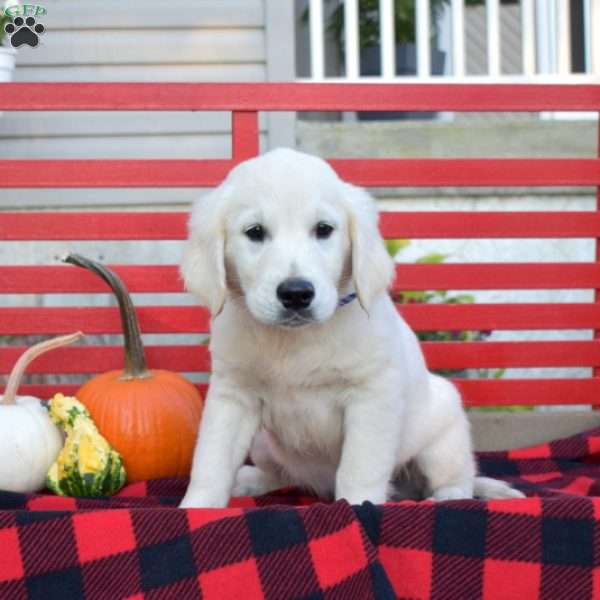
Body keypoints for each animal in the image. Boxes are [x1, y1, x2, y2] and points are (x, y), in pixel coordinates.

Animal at [180, 146, 524, 506]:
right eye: (255, 232)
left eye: (323, 229)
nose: (296, 293)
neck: (294, 341)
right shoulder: (232, 395)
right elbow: (211, 461)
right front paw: (197, 507)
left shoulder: (371, 395)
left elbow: (359, 468)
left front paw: (358, 506)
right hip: (263, 443)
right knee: (282, 475)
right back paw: (249, 480)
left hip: (444, 437)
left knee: (457, 479)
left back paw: (448, 497)